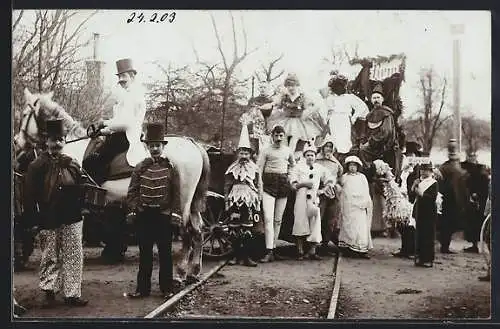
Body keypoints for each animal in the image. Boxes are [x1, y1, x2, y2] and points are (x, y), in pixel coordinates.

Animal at [12, 88, 210, 284]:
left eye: (24, 114)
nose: (16, 142)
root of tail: (192, 144)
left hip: (182, 203)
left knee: (186, 232)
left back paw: (181, 272)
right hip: (193, 205)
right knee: (198, 231)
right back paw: (194, 271)